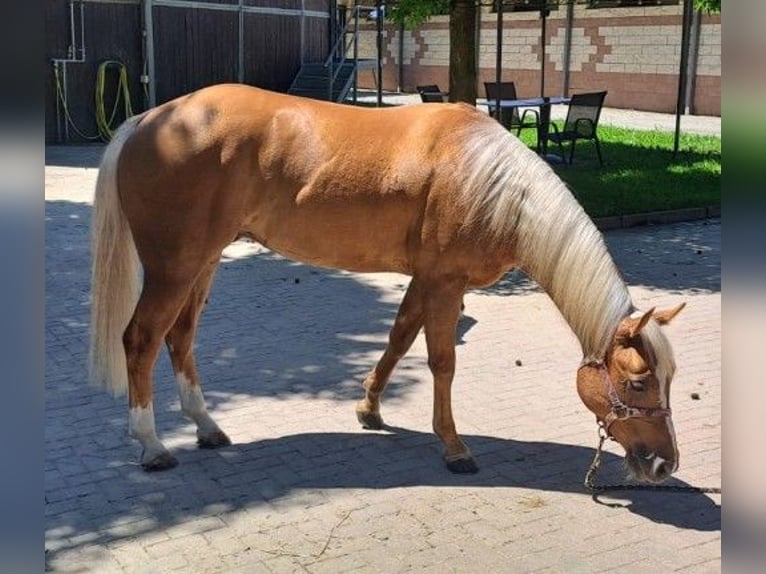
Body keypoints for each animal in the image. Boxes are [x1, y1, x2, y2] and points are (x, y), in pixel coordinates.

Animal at [93, 85, 688, 482]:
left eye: (669, 378)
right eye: (638, 382)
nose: (663, 463)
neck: (489, 182)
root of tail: (149, 119)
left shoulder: (426, 279)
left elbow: (398, 339)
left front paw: (370, 409)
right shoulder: (445, 284)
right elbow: (442, 361)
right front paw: (454, 447)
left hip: (203, 262)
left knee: (180, 337)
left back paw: (207, 428)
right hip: (175, 265)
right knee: (141, 340)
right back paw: (152, 446)